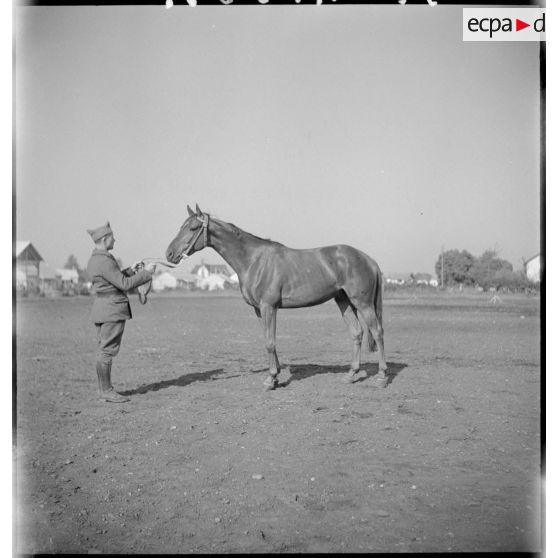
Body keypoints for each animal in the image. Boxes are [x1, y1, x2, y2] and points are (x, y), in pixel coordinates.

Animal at [164, 203, 388, 392]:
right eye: (182, 226)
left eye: (193, 228)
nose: (170, 254)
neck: (253, 260)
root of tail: (368, 259)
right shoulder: (259, 309)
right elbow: (267, 339)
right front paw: (275, 376)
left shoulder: (268, 307)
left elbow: (270, 342)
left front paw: (270, 379)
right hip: (344, 301)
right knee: (357, 333)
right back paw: (351, 375)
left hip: (363, 303)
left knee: (377, 332)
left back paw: (382, 376)